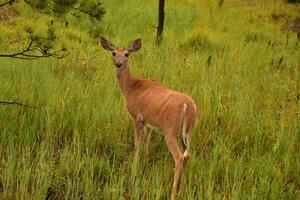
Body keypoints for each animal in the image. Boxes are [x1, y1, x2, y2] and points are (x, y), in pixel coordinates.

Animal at [99, 36, 198, 199]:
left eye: (127, 54)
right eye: (113, 53)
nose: (119, 63)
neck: (131, 87)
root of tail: (188, 106)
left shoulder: (137, 117)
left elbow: (137, 144)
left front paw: (133, 174)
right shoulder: (149, 121)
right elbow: (146, 141)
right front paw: (145, 164)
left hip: (170, 131)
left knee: (179, 157)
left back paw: (173, 193)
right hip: (188, 133)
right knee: (187, 156)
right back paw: (183, 190)